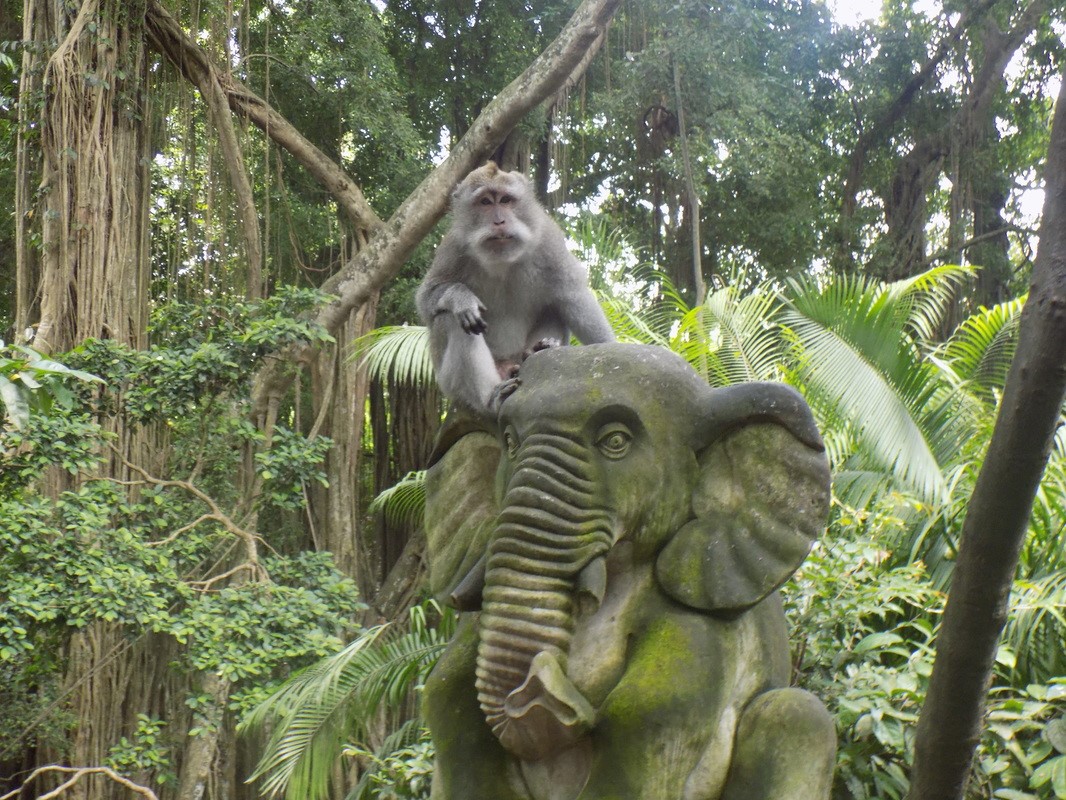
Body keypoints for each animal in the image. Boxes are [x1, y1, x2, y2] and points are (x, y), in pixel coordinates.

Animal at [415, 163, 618, 413]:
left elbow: (573, 295)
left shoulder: (548, 237)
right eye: (485, 202)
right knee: (452, 319)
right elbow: (427, 299)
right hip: (450, 384)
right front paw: (461, 297)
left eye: (505, 200)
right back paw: (491, 398)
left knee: (555, 307)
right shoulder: (453, 246)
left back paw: (540, 348)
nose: (499, 221)